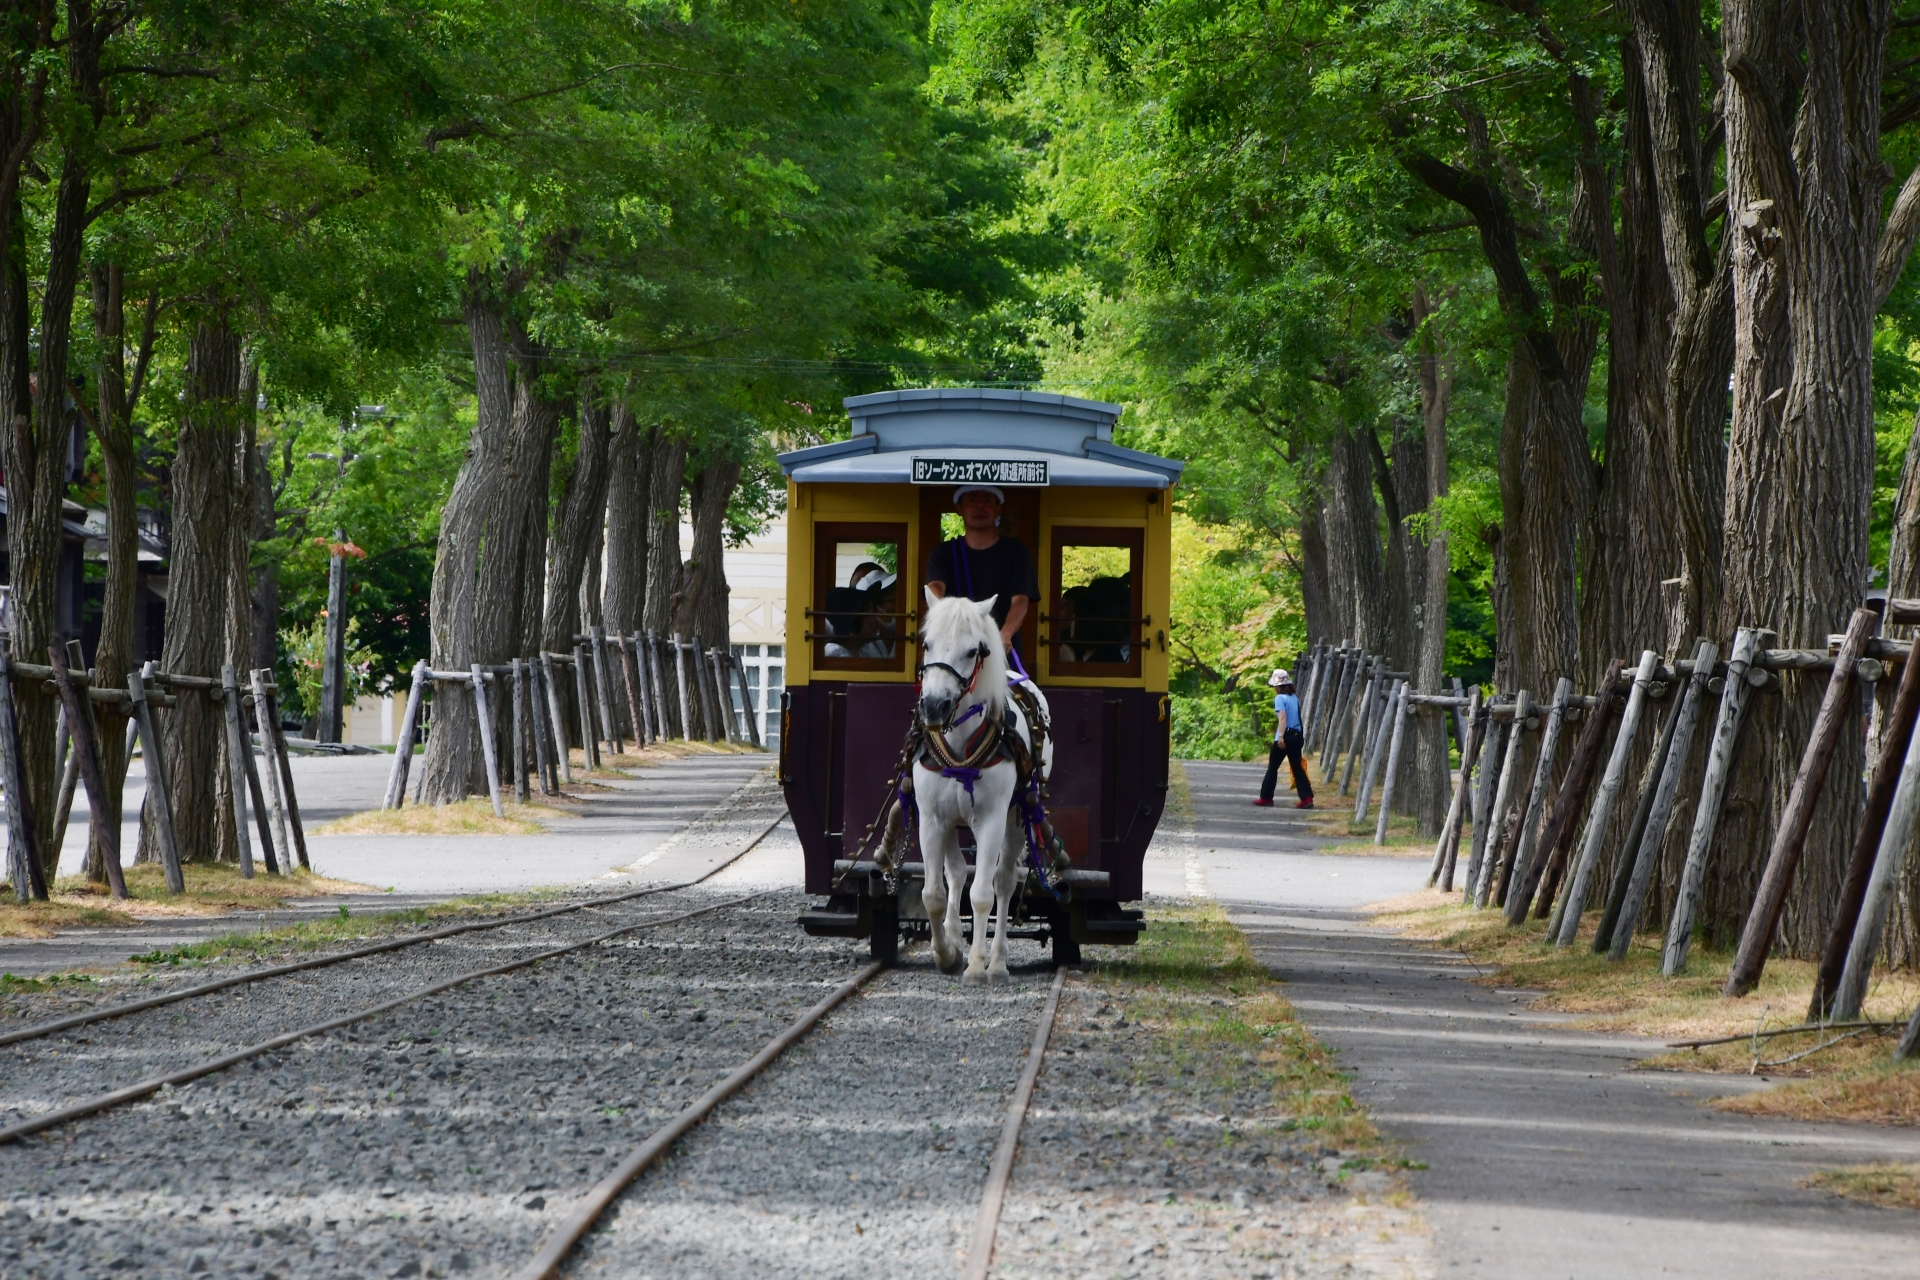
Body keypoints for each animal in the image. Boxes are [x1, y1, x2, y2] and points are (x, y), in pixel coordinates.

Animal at [914, 588, 1054, 981]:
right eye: (927, 643)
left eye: (971, 651)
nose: (934, 705)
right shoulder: (932, 819)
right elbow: (933, 893)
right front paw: (946, 952)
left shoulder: (991, 820)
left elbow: (981, 894)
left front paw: (977, 964)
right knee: (957, 873)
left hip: (1018, 817)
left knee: (1003, 882)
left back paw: (998, 960)